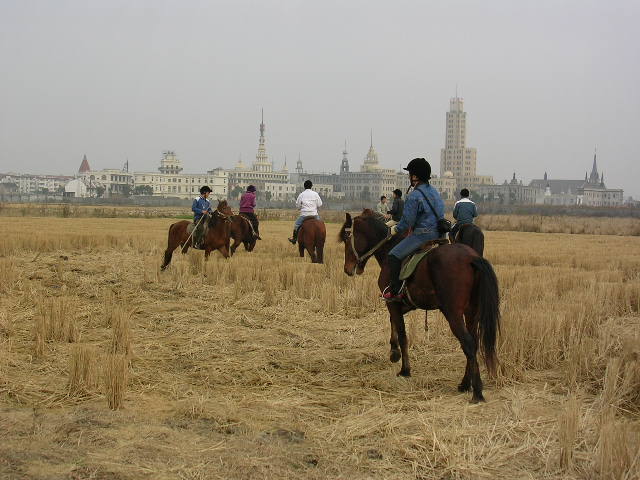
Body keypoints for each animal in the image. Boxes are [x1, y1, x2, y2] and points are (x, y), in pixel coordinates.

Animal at [338, 210, 502, 402]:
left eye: (347, 238)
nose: (348, 269)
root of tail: (472, 258)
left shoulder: (393, 302)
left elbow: (402, 334)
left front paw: (404, 369)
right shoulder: (405, 304)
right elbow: (393, 323)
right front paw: (394, 352)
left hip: (453, 313)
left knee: (468, 343)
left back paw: (477, 391)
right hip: (471, 312)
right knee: (473, 343)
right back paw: (464, 384)